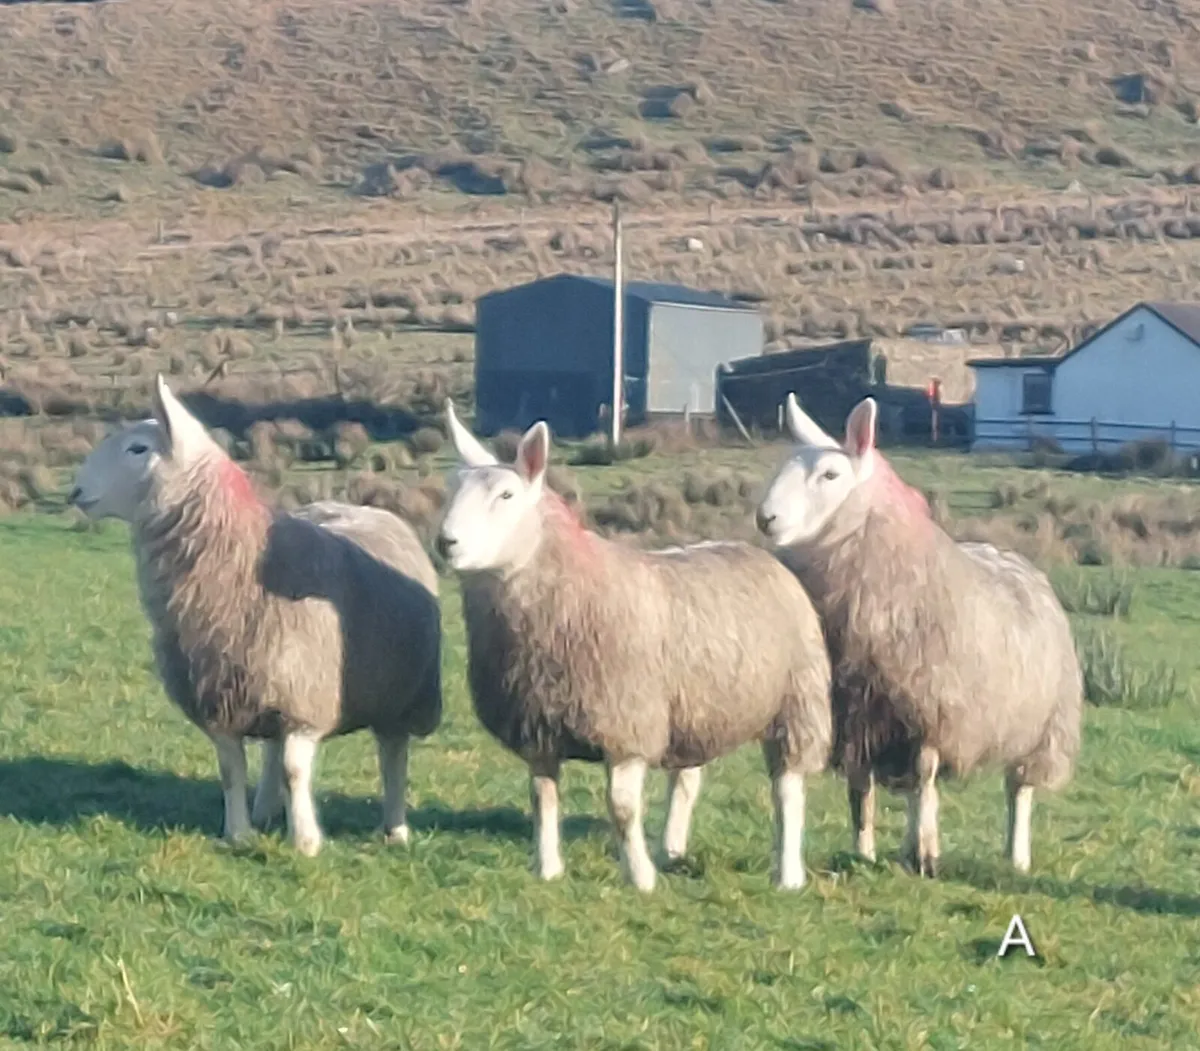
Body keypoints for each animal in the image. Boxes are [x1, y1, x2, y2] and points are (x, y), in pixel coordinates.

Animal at [67, 376, 442, 856]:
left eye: (138, 449)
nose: (75, 492)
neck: (237, 559)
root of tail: (363, 507)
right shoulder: (220, 698)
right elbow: (232, 770)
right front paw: (239, 834)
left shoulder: (304, 700)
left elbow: (295, 772)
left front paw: (305, 842)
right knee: (270, 751)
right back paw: (265, 812)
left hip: (402, 693)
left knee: (392, 755)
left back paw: (394, 828)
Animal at [435, 400, 832, 892]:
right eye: (451, 488)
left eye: (506, 496)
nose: (445, 543)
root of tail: (754, 549)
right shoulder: (538, 728)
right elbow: (542, 800)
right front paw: (547, 869)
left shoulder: (626, 726)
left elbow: (622, 809)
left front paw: (639, 877)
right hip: (698, 708)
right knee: (687, 780)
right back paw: (672, 850)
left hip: (797, 700)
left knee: (788, 790)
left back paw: (788, 872)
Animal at [756, 393, 1082, 877]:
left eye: (831, 475)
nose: (766, 518)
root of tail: (1011, 555)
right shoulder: (855, 713)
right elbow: (860, 791)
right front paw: (863, 851)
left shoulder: (928, 712)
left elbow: (922, 784)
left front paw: (924, 853)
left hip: (1043, 727)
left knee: (1018, 791)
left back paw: (1016, 855)